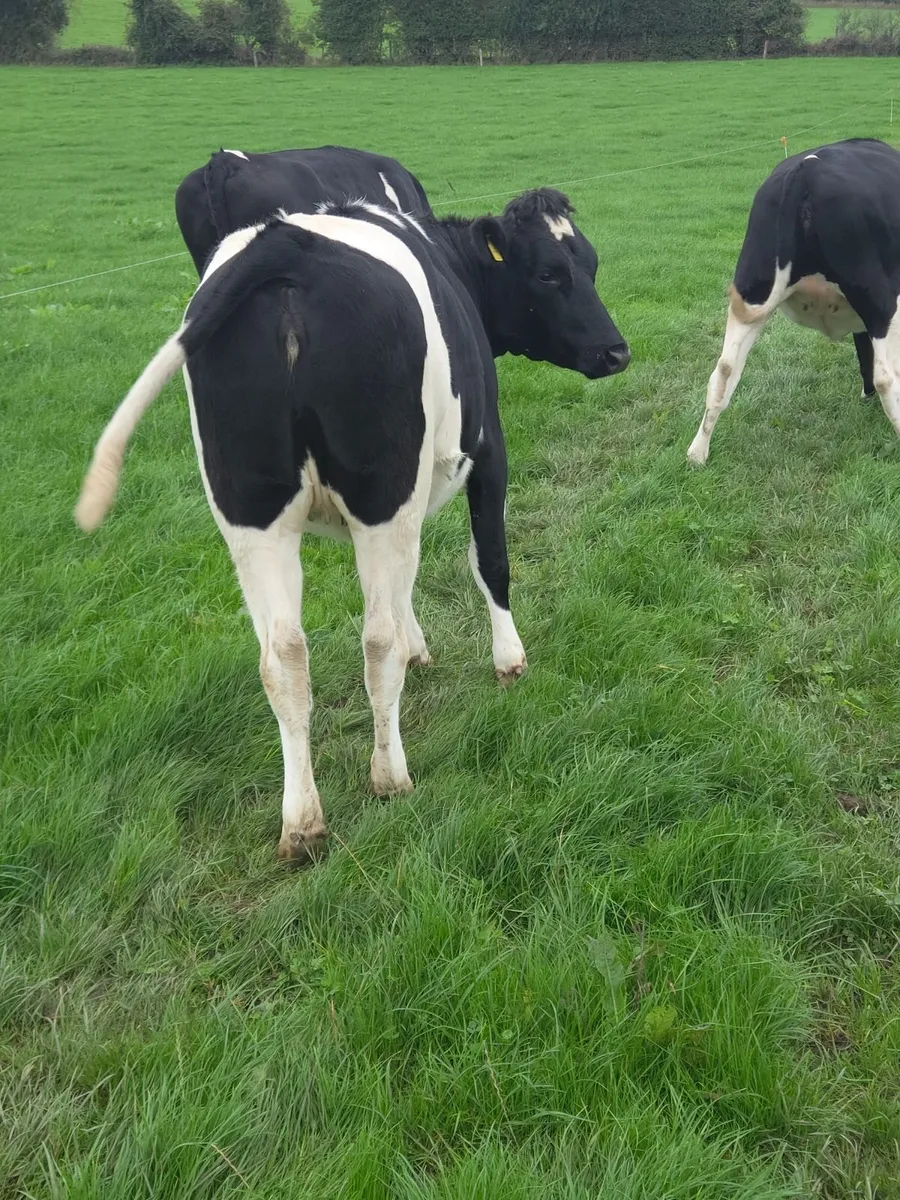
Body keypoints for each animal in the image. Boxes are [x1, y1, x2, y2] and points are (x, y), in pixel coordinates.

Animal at [75, 190, 630, 863]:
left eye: (591, 263)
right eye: (550, 273)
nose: (616, 351)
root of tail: (285, 244)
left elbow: (402, 588)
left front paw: (423, 648)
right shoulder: (484, 450)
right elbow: (489, 560)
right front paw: (509, 660)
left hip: (251, 513)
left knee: (283, 655)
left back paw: (301, 822)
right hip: (378, 492)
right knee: (374, 640)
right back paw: (390, 776)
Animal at [687, 138, 900, 467]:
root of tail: (806, 170)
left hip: (751, 293)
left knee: (723, 371)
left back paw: (697, 454)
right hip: (881, 301)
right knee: (887, 377)